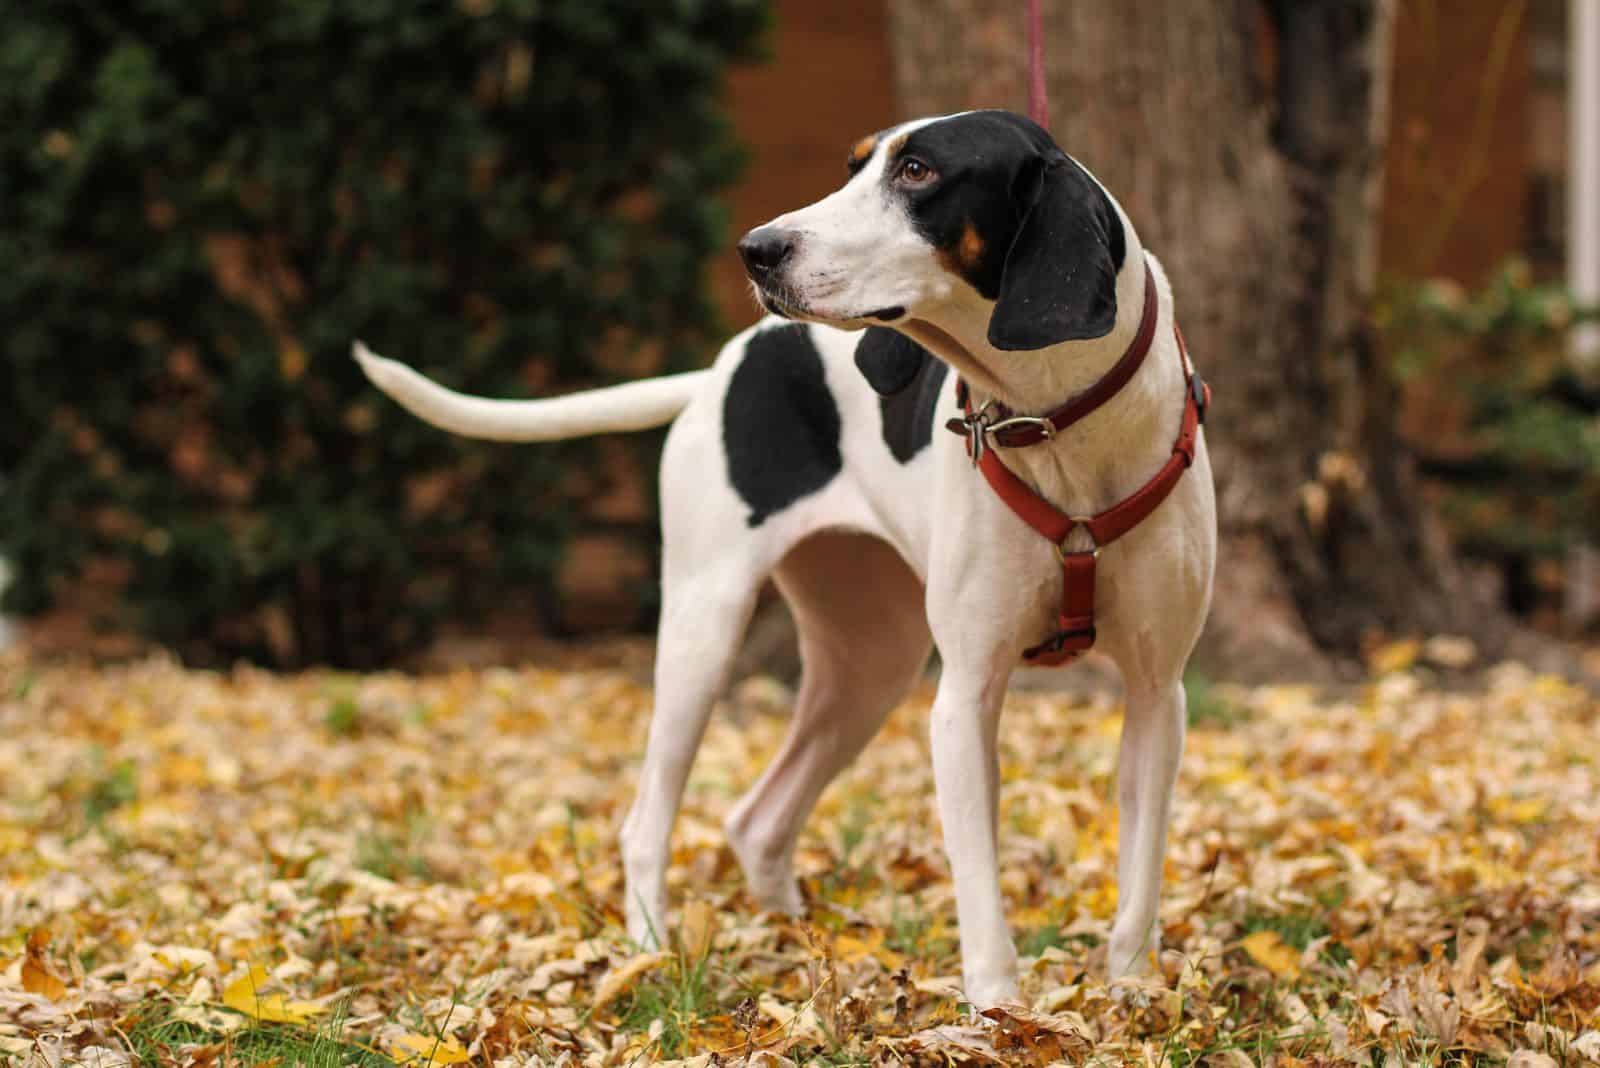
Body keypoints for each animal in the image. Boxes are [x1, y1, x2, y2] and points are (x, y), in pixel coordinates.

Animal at [356, 108, 1216, 1010]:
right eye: (854, 166)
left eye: (917, 170)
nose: (757, 249)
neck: (1054, 422)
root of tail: (720, 370)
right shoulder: (966, 697)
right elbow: (981, 896)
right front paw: (1001, 1015)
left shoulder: (1158, 696)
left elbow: (1141, 877)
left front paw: (1134, 997)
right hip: (704, 635)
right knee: (647, 822)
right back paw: (649, 953)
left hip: (870, 665)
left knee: (758, 820)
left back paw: (792, 940)